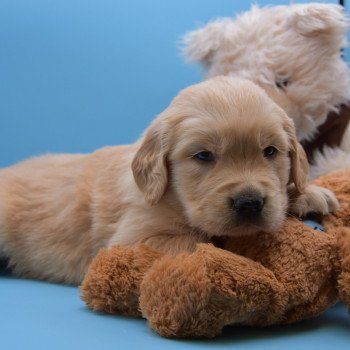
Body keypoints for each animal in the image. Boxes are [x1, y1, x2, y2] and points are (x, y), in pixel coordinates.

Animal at [0, 76, 340, 284]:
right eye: (203, 156)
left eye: (270, 151)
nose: (249, 203)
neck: (175, 197)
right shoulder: (132, 240)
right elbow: (199, 240)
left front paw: (308, 194)